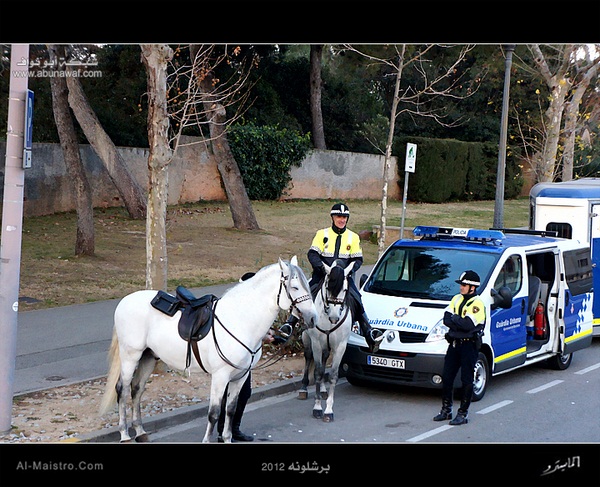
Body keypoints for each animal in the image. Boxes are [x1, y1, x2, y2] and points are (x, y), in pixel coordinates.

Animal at [100, 258, 316, 444]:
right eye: (295, 287)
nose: (313, 317)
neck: (240, 319)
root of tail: (125, 301)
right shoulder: (220, 376)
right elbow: (214, 413)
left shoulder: (240, 376)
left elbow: (230, 410)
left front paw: (227, 438)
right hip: (131, 355)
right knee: (123, 389)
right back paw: (125, 435)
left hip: (148, 357)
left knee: (137, 389)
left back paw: (140, 432)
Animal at [298, 260, 354, 424]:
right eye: (329, 287)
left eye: (345, 289)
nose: (334, 317)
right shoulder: (316, 343)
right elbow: (317, 372)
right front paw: (317, 408)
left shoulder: (340, 346)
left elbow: (333, 375)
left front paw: (328, 410)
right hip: (307, 339)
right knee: (308, 358)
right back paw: (304, 388)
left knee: (324, 360)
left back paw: (323, 390)